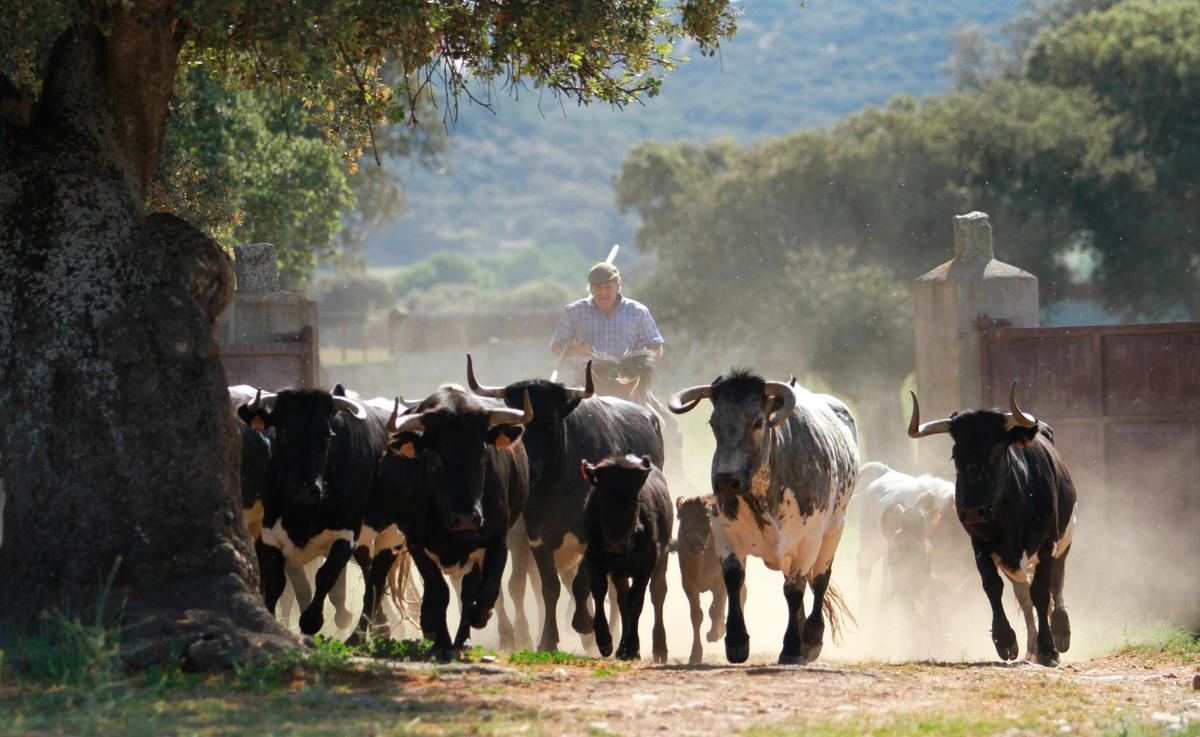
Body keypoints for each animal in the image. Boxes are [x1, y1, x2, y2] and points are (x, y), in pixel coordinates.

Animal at [372, 386, 528, 662]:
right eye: (435, 456)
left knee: (469, 591)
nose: (467, 517)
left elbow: (487, 588)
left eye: (482, 454)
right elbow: (438, 592)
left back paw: (463, 638)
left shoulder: (497, 541)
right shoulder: (416, 543)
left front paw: (480, 617)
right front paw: (439, 640)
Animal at [465, 357, 667, 652]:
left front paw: (585, 625)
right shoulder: (536, 538)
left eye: (550, 423)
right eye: (516, 428)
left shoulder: (592, 539)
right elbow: (550, 587)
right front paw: (548, 639)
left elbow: (583, 583)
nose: (530, 468)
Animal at [583, 453, 676, 662]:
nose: (614, 544)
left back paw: (659, 648)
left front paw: (633, 647)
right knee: (622, 601)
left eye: (632, 501)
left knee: (658, 595)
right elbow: (600, 592)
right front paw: (605, 641)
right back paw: (621, 648)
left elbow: (636, 601)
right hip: (620, 574)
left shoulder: (646, 567)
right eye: (602, 499)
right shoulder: (594, 559)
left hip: (661, 561)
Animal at [672, 372, 859, 667]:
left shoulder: (807, 539)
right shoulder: (723, 530)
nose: (726, 480)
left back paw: (811, 638)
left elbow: (795, 590)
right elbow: (733, 580)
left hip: (834, 530)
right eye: (714, 422)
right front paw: (736, 641)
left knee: (818, 580)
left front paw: (792, 647)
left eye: (758, 422)